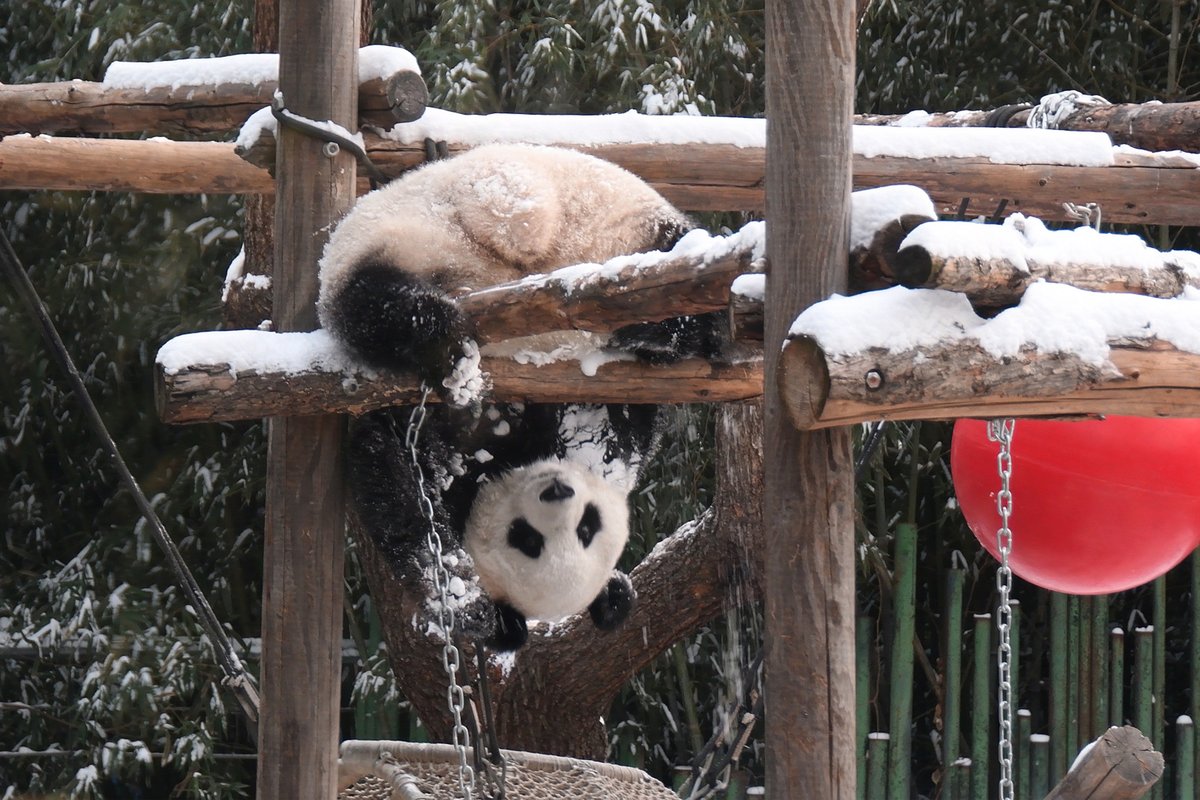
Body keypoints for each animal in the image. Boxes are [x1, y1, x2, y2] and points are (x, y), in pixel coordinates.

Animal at [316, 143, 720, 652]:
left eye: (587, 528)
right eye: (526, 539)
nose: (559, 489)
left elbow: (609, 428)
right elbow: (397, 473)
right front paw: (463, 599)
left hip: (613, 230)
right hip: (403, 232)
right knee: (374, 300)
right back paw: (445, 344)